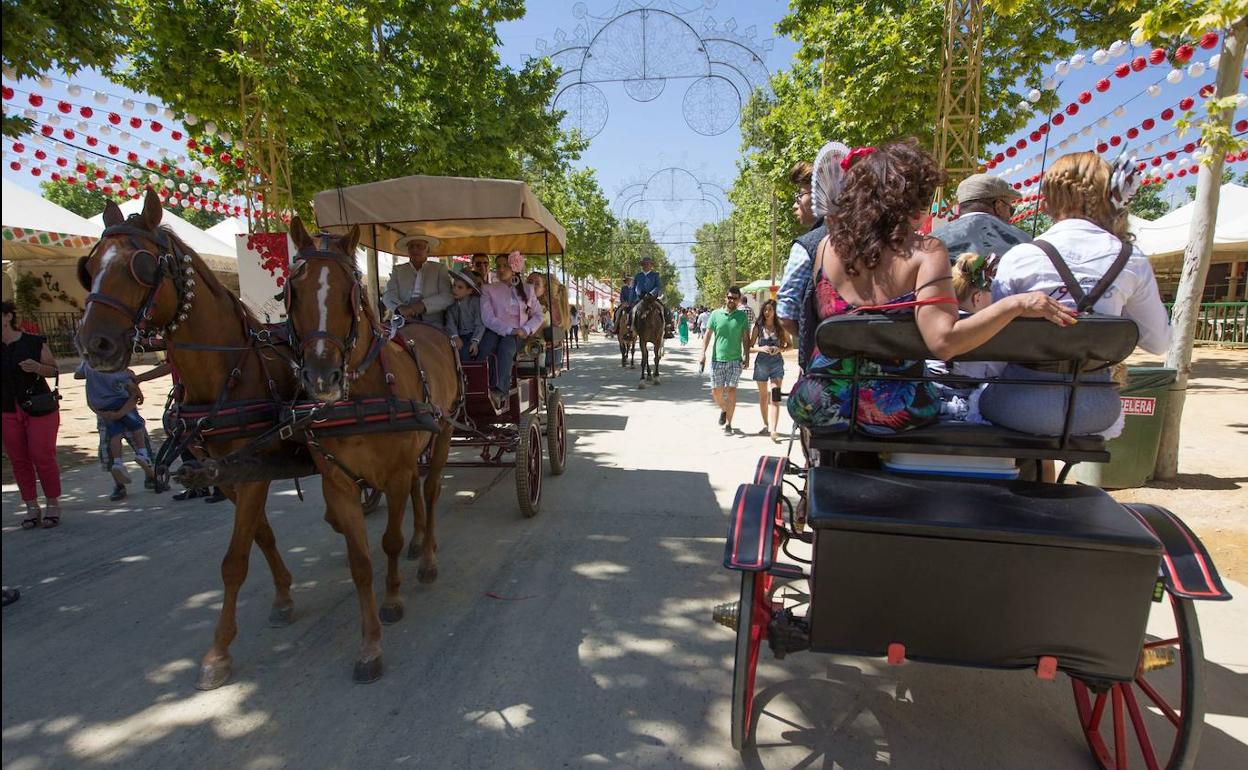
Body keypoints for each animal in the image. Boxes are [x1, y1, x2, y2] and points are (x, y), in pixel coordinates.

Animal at [74, 189, 308, 688]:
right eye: (91, 265)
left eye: (142, 266)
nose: (94, 345)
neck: (227, 371)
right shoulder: (227, 474)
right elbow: (260, 536)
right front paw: (283, 595)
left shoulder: (253, 472)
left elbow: (234, 560)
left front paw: (218, 651)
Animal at [284, 219, 464, 683]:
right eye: (294, 289)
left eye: (349, 289)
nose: (322, 376)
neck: (361, 399)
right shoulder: (338, 484)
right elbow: (361, 563)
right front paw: (369, 645)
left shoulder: (395, 474)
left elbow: (389, 541)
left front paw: (394, 599)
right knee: (420, 489)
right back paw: (420, 543)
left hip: (441, 432)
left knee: (430, 491)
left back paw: (427, 555)